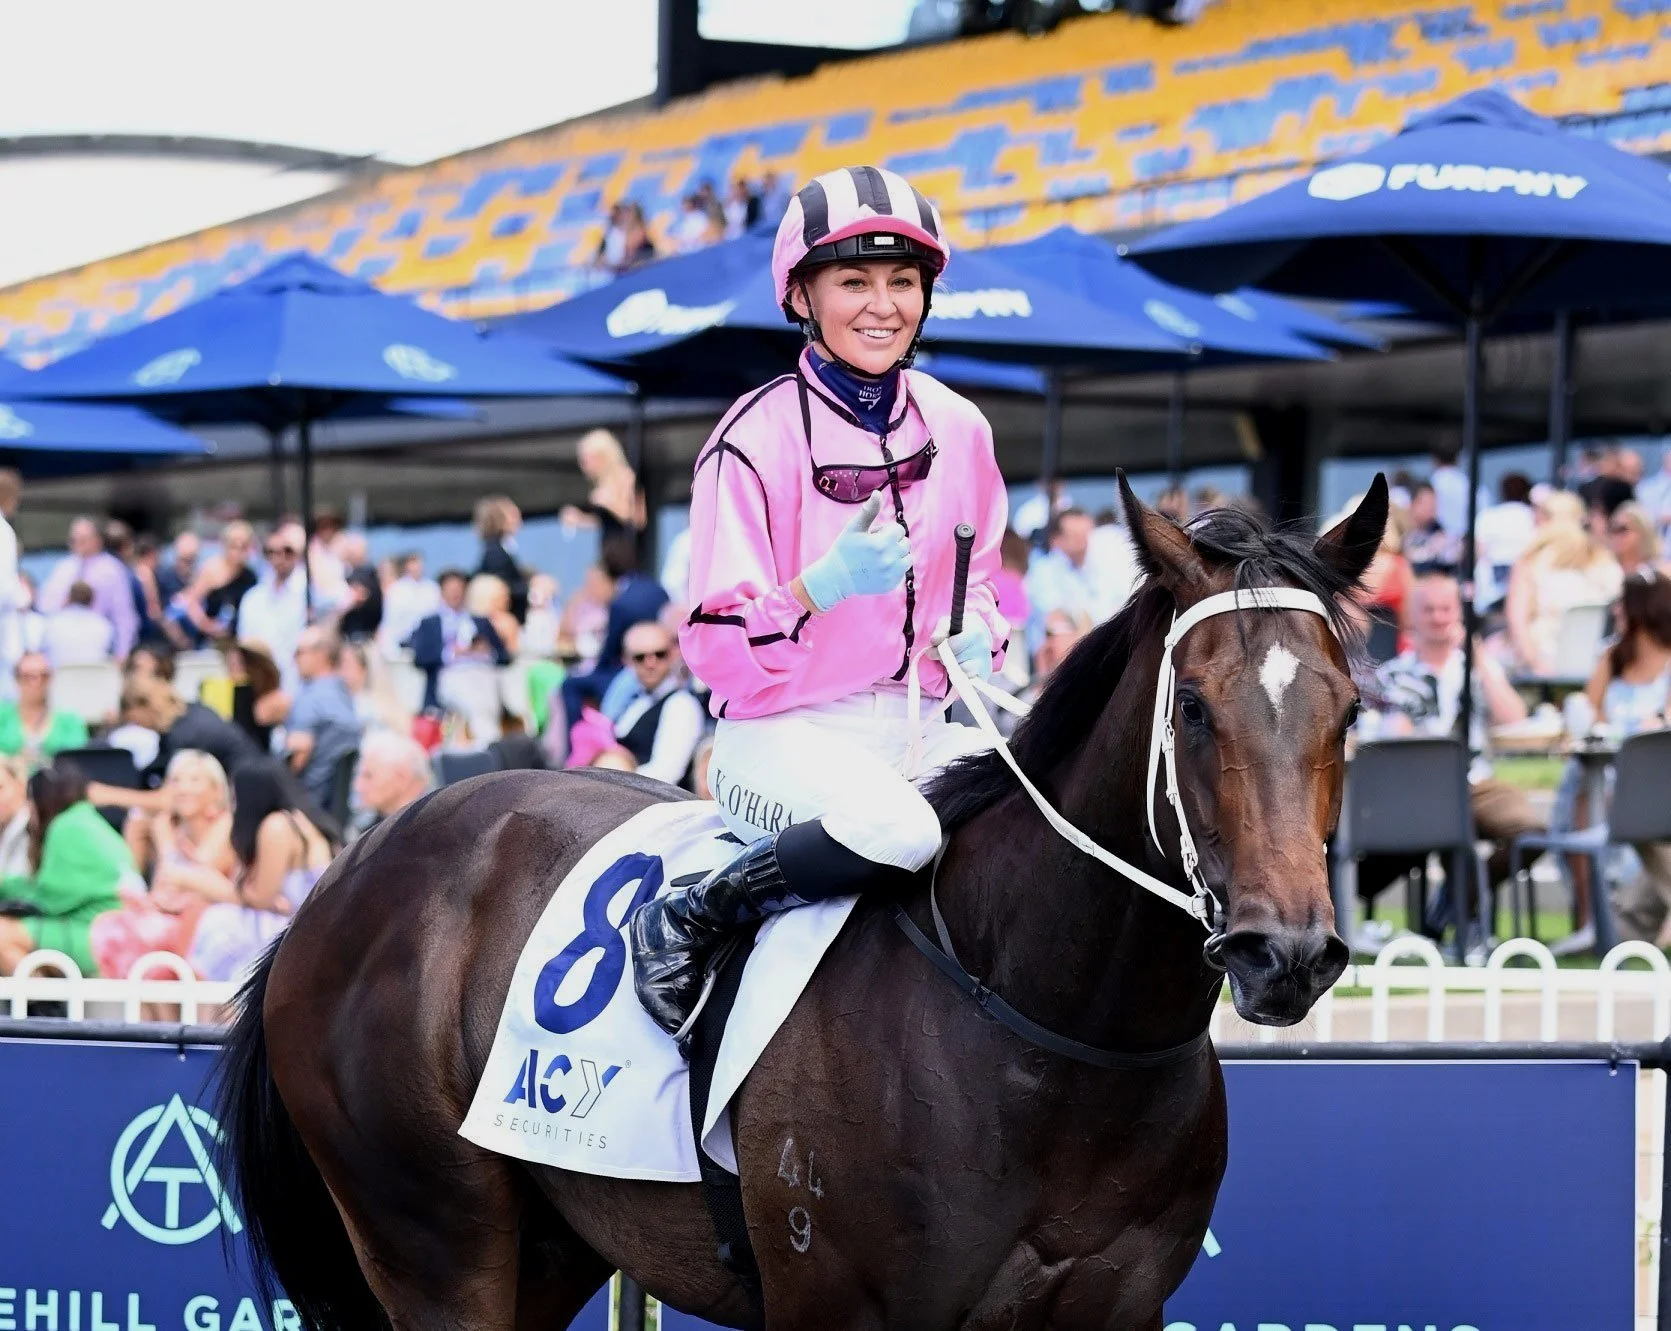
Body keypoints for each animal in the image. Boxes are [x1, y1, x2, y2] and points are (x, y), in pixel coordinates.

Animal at [218, 475, 1387, 1331]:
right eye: (1191, 705)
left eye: (1346, 708)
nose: (1285, 951)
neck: (1050, 1033)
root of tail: (350, 868)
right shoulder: (845, 1307)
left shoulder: (1113, 1310)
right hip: (434, 1238)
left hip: (547, 1242)